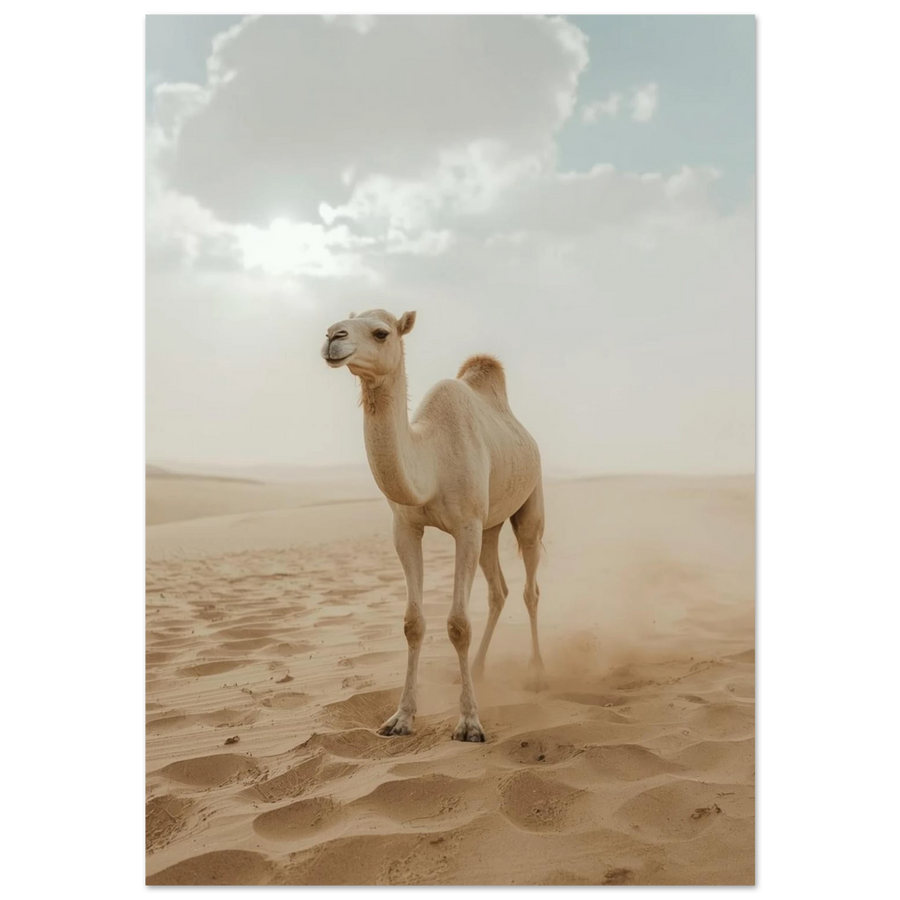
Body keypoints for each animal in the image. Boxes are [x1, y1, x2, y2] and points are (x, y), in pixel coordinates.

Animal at [321, 309, 546, 742]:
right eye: (339, 323)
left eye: (381, 332)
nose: (332, 338)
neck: (432, 461)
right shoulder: (406, 528)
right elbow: (413, 623)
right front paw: (401, 718)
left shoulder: (467, 527)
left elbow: (458, 624)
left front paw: (470, 723)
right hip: (490, 526)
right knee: (499, 591)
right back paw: (477, 668)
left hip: (530, 504)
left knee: (530, 588)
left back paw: (537, 670)